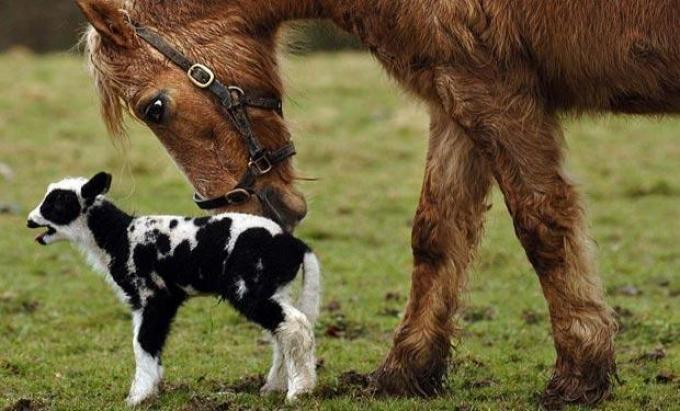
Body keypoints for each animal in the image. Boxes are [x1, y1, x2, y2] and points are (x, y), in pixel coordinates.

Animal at [27, 173, 320, 406]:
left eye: (57, 202)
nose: (30, 221)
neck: (119, 237)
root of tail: (294, 245)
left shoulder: (153, 296)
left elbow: (142, 342)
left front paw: (138, 397)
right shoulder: (154, 301)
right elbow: (149, 342)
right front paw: (152, 388)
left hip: (250, 288)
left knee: (294, 326)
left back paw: (299, 392)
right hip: (275, 288)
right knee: (283, 332)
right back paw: (276, 386)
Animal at [77, 0, 676, 408]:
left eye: (154, 108)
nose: (246, 209)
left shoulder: (493, 91)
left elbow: (541, 223)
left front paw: (580, 370)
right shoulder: (455, 96)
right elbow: (436, 233)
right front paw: (407, 370)